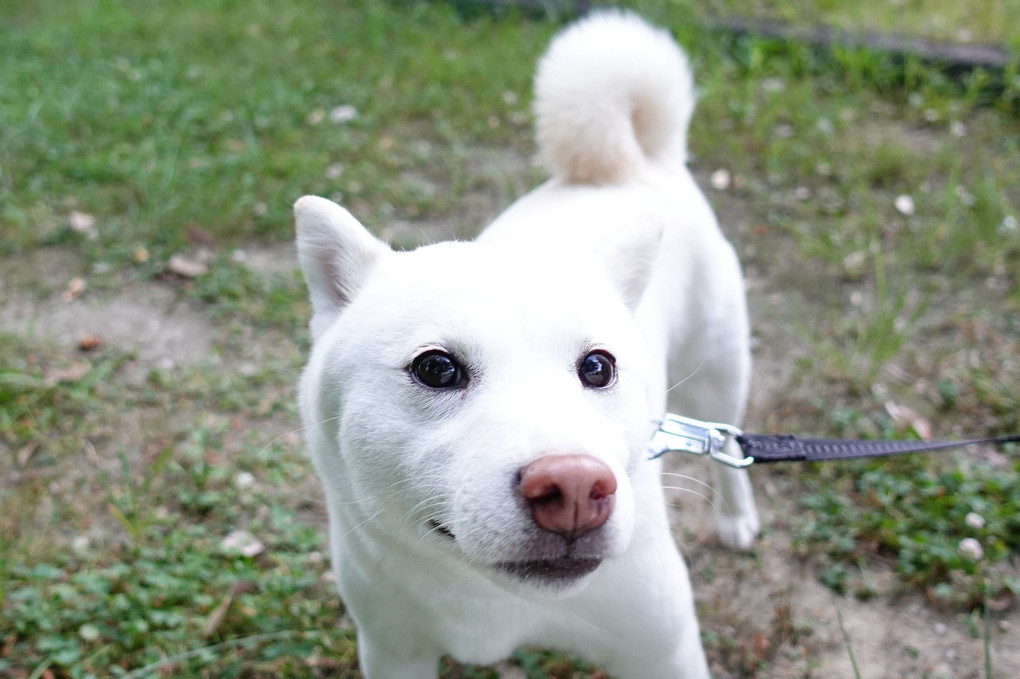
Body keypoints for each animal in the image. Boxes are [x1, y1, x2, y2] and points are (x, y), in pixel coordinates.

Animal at [295, 11, 758, 676]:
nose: (575, 488)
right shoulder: (392, 649)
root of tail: (633, 161)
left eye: (598, 367)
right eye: (437, 369)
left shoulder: (663, 648)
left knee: (731, 447)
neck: (494, 600)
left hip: (722, 370)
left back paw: (737, 517)